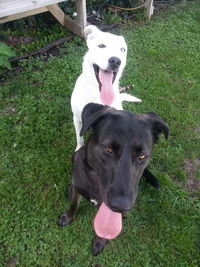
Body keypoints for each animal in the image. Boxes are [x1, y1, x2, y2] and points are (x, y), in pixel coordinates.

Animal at [58, 102, 169, 255]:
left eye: (142, 156)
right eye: (108, 149)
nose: (121, 206)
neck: (95, 187)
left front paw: (100, 241)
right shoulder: (79, 187)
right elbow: (74, 204)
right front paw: (68, 217)